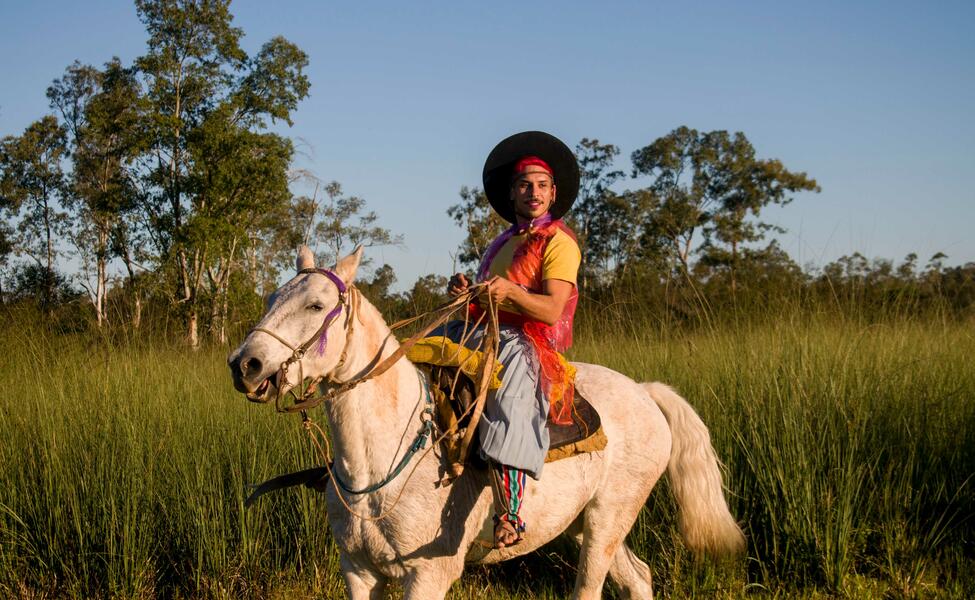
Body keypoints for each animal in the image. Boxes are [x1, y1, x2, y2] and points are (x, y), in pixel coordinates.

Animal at [231, 246, 748, 596]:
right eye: (272, 297)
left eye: (317, 305)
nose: (245, 365)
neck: (378, 465)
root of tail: (644, 392)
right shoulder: (357, 572)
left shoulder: (427, 576)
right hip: (586, 522)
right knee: (639, 578)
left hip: (609, 518)